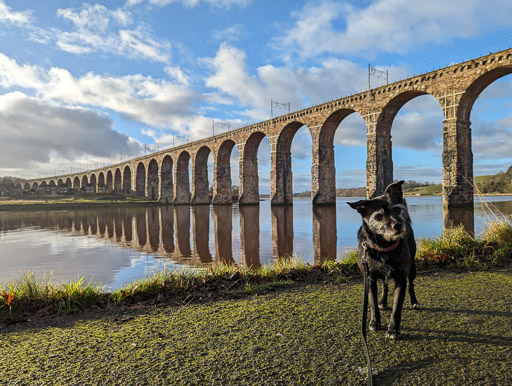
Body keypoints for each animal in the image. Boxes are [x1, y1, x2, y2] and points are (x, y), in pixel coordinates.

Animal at [348, 180, 420, 338]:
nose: (398, 225)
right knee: (385, 285)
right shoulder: (370, 279)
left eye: (397, 210)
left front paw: (393, 329)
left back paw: (414, 302)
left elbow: (397, 307)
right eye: (379, 216)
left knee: (411, 284)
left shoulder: (401, 279)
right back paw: (383, 301)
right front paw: (375, 322)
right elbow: (372, 303)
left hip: (412, 267)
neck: (383, 246)